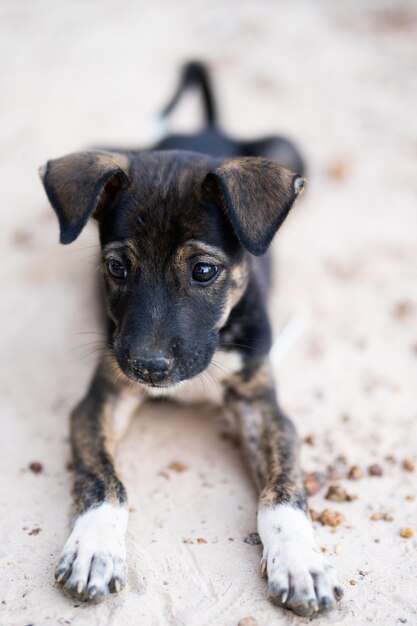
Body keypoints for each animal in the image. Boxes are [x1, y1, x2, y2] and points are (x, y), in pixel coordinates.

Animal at [38, 63, 342, 616]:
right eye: (116, 268)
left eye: (204, 271)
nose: (148, 367)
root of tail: (208, 126)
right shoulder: (100, 398)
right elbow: (103, 481)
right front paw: (94, 548)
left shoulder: (262, 405)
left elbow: (284, 493)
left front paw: (299, 562)